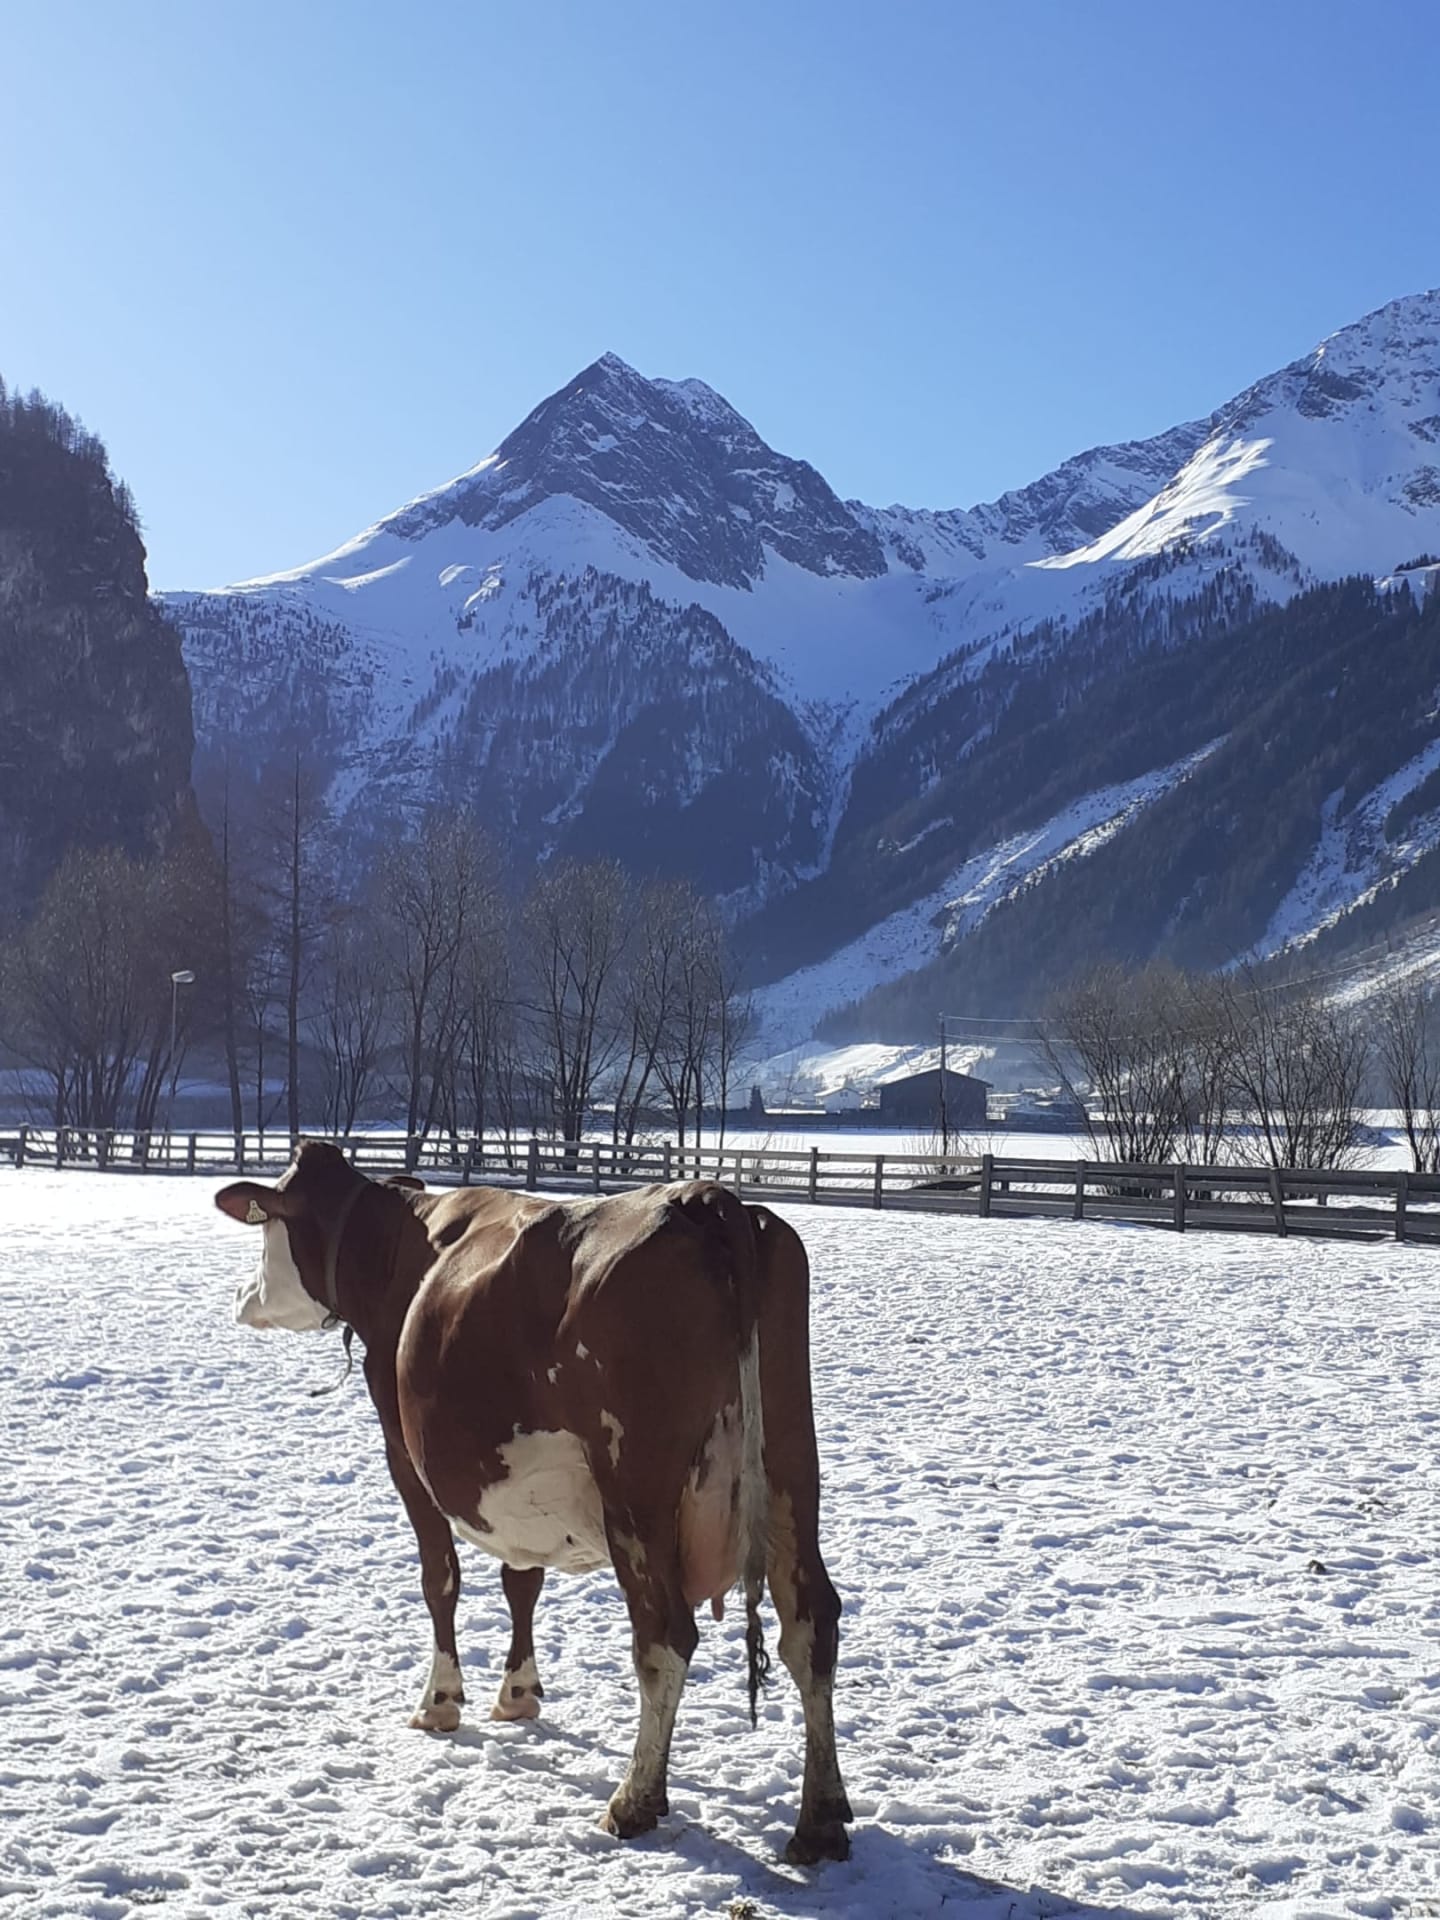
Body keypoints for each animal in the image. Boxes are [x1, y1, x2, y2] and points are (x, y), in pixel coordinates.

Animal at [215, 1140, 852, 1865]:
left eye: (266, 1223)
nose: (242, 1298)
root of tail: (706, 1198)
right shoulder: (515, 1490)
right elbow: (521, 1579)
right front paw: (518, 1691)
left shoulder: (404, 1454)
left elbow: (440, 1579)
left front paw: (440, 1701)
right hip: (791, 1468)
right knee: (811, 1621)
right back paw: (820, 1818)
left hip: (635, 1488)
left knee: (665, 1634)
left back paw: (635, 1798)